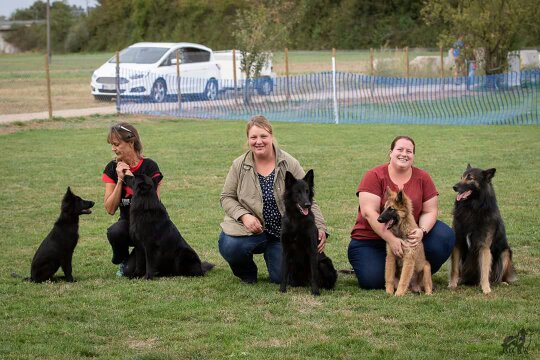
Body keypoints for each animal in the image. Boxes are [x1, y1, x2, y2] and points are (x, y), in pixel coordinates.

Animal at [450, 165, 516, 294]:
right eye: (461, 177)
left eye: (470, 178)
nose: (454, 187)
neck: (472, 208)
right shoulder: (458, 243)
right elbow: (454, 269)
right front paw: (452, 284)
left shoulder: (484, 247)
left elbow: (485, 270)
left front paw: (486, 288)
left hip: (505, 253)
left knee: (497, 277)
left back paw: (501, 282)